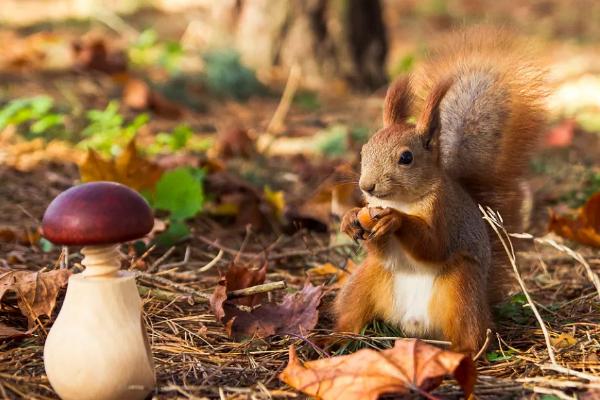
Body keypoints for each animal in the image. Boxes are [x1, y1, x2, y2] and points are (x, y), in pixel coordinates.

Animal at [336, 28, 548, 354]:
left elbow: (434, 245)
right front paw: (350, 218)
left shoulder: (445, 213)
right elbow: (377, 245)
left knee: (473, 334)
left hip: (460, 286)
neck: (402, 201)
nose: (366, 186)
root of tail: (415, 327)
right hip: (365, 279)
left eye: (406, 158)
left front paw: (396, 221)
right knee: (350, 312)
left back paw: (462, 354)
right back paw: (332, 339)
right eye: (364, 150)